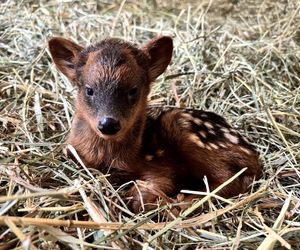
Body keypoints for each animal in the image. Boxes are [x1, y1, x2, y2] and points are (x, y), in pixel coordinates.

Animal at [48, 35, 262, 213]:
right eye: (89, 90)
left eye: (133, 90)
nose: (108, 124)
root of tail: (253, 155)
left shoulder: (162, 168)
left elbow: (159, 184)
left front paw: (142, 199)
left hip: (180, 125)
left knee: (231, 178)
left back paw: (183, 201)